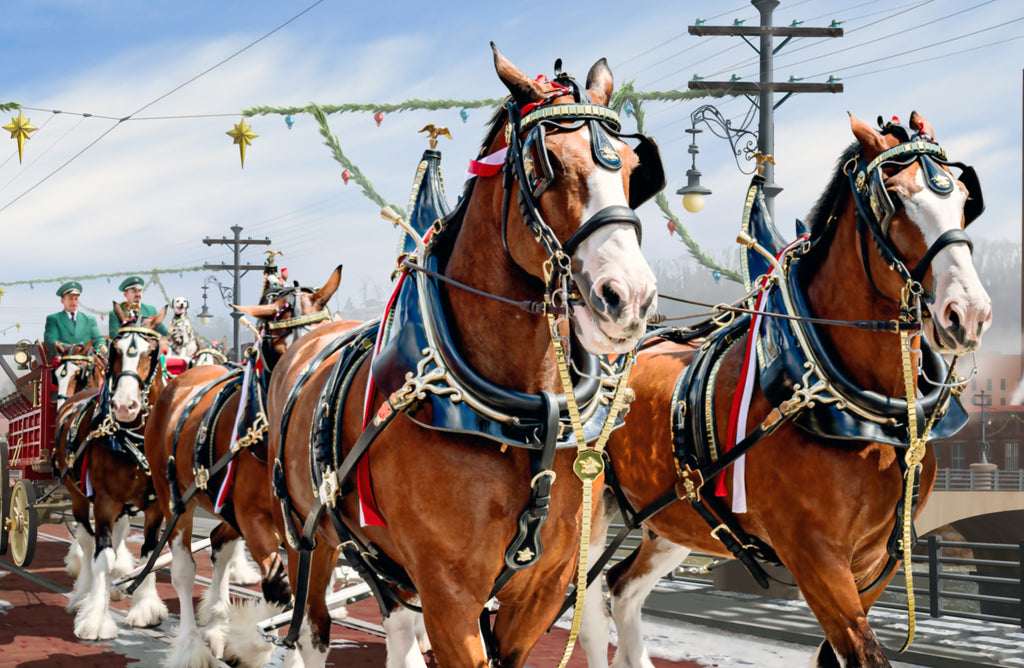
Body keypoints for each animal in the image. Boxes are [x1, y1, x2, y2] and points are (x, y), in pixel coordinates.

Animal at [57, 303, 167, 635]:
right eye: (115, 350)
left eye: (152, 351)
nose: (124, 406)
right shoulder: (104, 500)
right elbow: (101, 556)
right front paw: (94, 617)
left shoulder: (155, 505)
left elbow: (149, 554)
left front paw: (145, 608)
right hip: (78, 495)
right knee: (86, 539)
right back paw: (83, 593)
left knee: (117, 536)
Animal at [142, 266, 342, 667]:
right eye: (279, 348)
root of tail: (181, 380)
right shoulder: (254, 519)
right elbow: (280, 590)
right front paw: (247, 642)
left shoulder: (314, 534)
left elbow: (302, 605)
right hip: (174, 497)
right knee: (184, 568)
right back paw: (192, 643)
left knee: (219, 546)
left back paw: (217, 621)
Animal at [268, 44, 659, 663]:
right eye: (544, 162)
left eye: (627, 164)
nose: (629, 298)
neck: (524, 422)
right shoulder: (448, 593)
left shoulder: (543, 590)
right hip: (308, 532)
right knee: (311, 627)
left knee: (396, 623)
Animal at [581, 113, 987, 667]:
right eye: (896, 198)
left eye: (966, 198)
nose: (969, 312)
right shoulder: (814, 556)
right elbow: (863, 653)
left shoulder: (875, 559)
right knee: (583, 603)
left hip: (675, 516)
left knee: (621, 586)